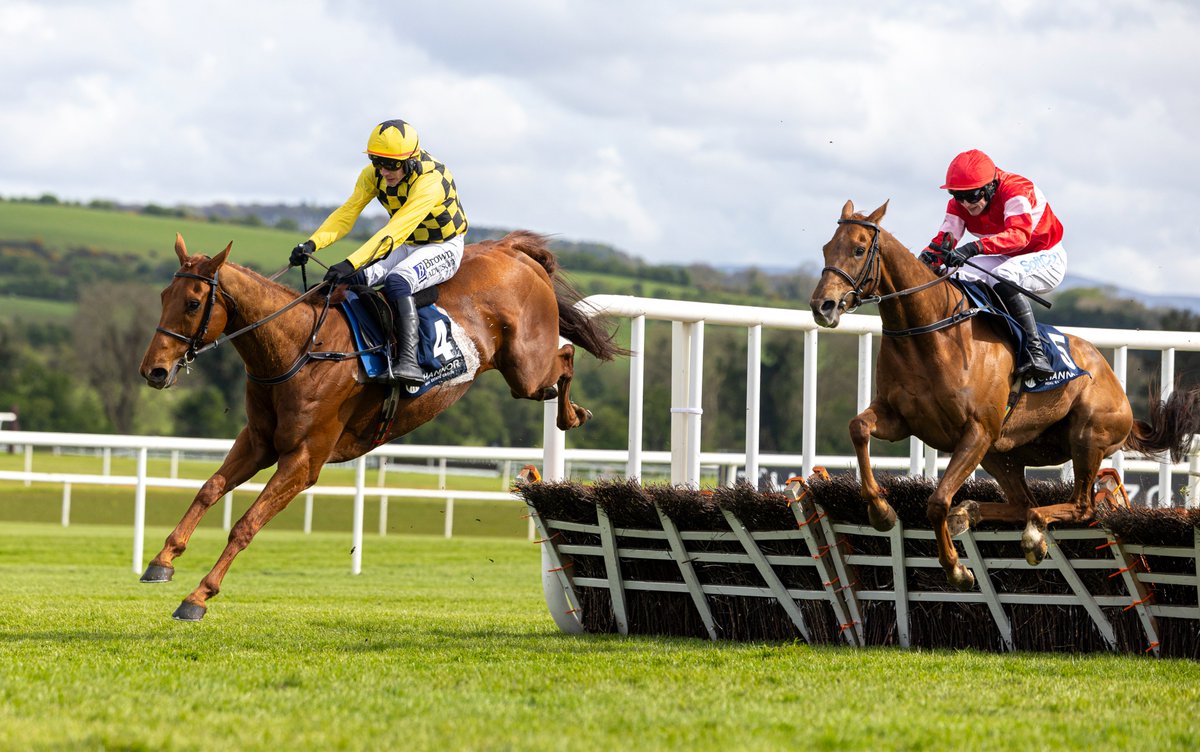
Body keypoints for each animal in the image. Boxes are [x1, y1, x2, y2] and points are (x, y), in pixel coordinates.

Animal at [142, 229, 619, 618]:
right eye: (163, 296)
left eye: (193, 303)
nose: (154, 371)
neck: (299, 348)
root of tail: (510, 249)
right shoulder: (259, 441)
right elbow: (209, 489)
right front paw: (162, 560)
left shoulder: (304, 459)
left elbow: (246, 524)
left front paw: (198, 596)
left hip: (527, 371)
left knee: (565, 357)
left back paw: (573, 414)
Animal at [811, 202, 1195, 592]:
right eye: (826, 248)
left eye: (859, 249)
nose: (822, 305)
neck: (930, 333)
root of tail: (1114, 383)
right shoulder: (901, 418)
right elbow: (858, 428)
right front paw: (881, 511)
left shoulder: (977, 430)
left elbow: (937, 502)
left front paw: (957, 569)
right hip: (1002, 453)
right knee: (1023, 503)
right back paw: (969, 512)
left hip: (1086, 437)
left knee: (1079, 506)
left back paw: (1032, 535)